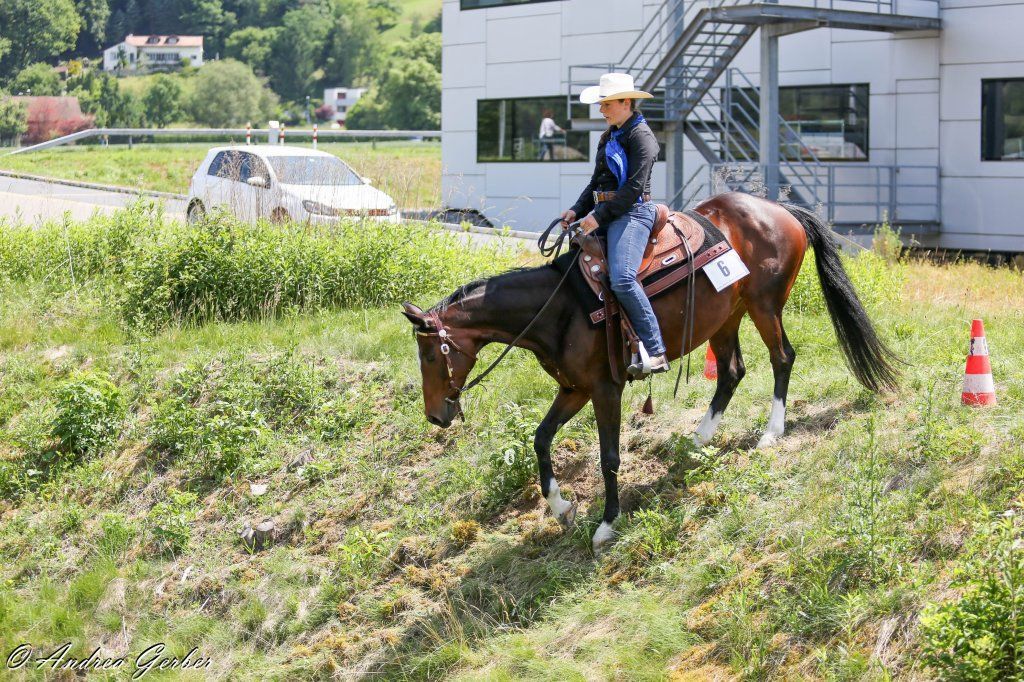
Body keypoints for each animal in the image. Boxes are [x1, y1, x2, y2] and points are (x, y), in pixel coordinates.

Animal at [401, 192, 899, 552]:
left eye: (430, 356)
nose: (435, 417)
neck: (560, 307)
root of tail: (779, 209)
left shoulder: (605, 389)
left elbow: (609, 457)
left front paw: (606, 525)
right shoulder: (574, 389)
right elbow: (540, 439)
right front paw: (561, 507)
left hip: (764, 305)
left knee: (782, 358)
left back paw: (772, 433)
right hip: (726, 315)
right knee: (732, 371)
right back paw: (699, 439)